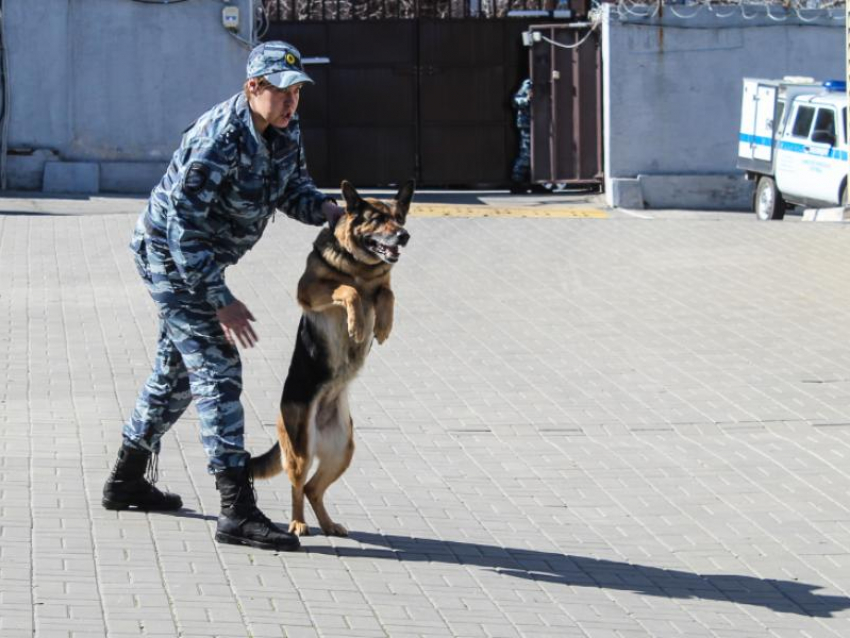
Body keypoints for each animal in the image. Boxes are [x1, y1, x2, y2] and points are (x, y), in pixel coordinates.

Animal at [248, 182, 414, 536]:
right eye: (378, 219)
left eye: (399, 217)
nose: (404, 236)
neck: (360, 266)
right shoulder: (309, 289)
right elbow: (349, 291)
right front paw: (358, 325)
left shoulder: (382, 285)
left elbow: (387, 293)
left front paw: (382, 325)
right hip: (301, 449)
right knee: (297, 487)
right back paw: (297, 523)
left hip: (343, 451)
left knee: (313, 488)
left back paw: (328, 525)